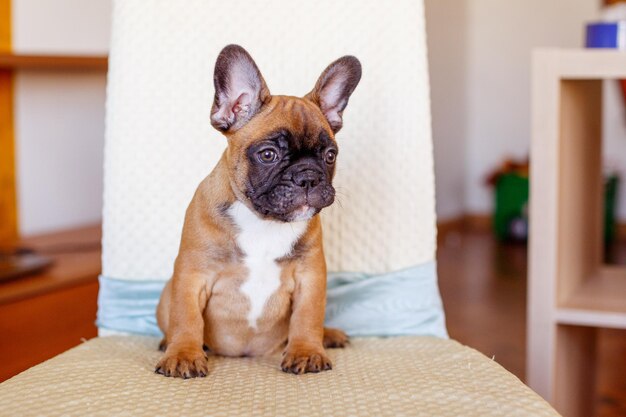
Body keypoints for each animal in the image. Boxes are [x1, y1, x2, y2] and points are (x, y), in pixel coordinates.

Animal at [155, 44, 358, 376]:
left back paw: (328, 335)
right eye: (268, 155)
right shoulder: (191, 275)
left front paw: (306, 351)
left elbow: (307, 317)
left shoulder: (311, 277)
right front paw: (183, 354)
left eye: (330, 155)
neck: (264, 221)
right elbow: (187, 318)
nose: (308, 177)